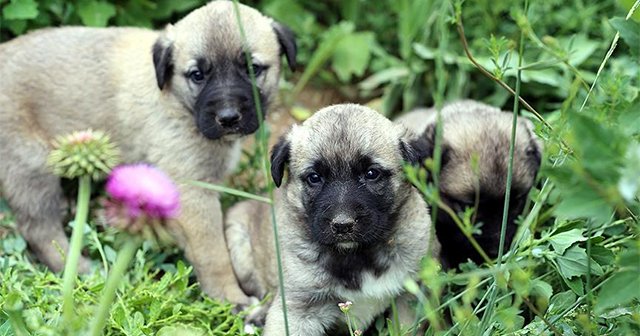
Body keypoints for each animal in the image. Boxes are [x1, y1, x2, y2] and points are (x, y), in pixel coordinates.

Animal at [0, 0, 296, 306]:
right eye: (197, 75)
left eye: (252, 68)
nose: (228, 117)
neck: (177, 100)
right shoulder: (193, 194)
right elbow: (213, 254)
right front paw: (230, 299)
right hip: (30, 165)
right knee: (39, 228)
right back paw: (80, 270)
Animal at [222, 103, 432, 334]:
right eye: (314, 177)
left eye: (371, 173)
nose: (342, 225)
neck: (356, 256)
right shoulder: (296, 309)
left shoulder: (407, 300)